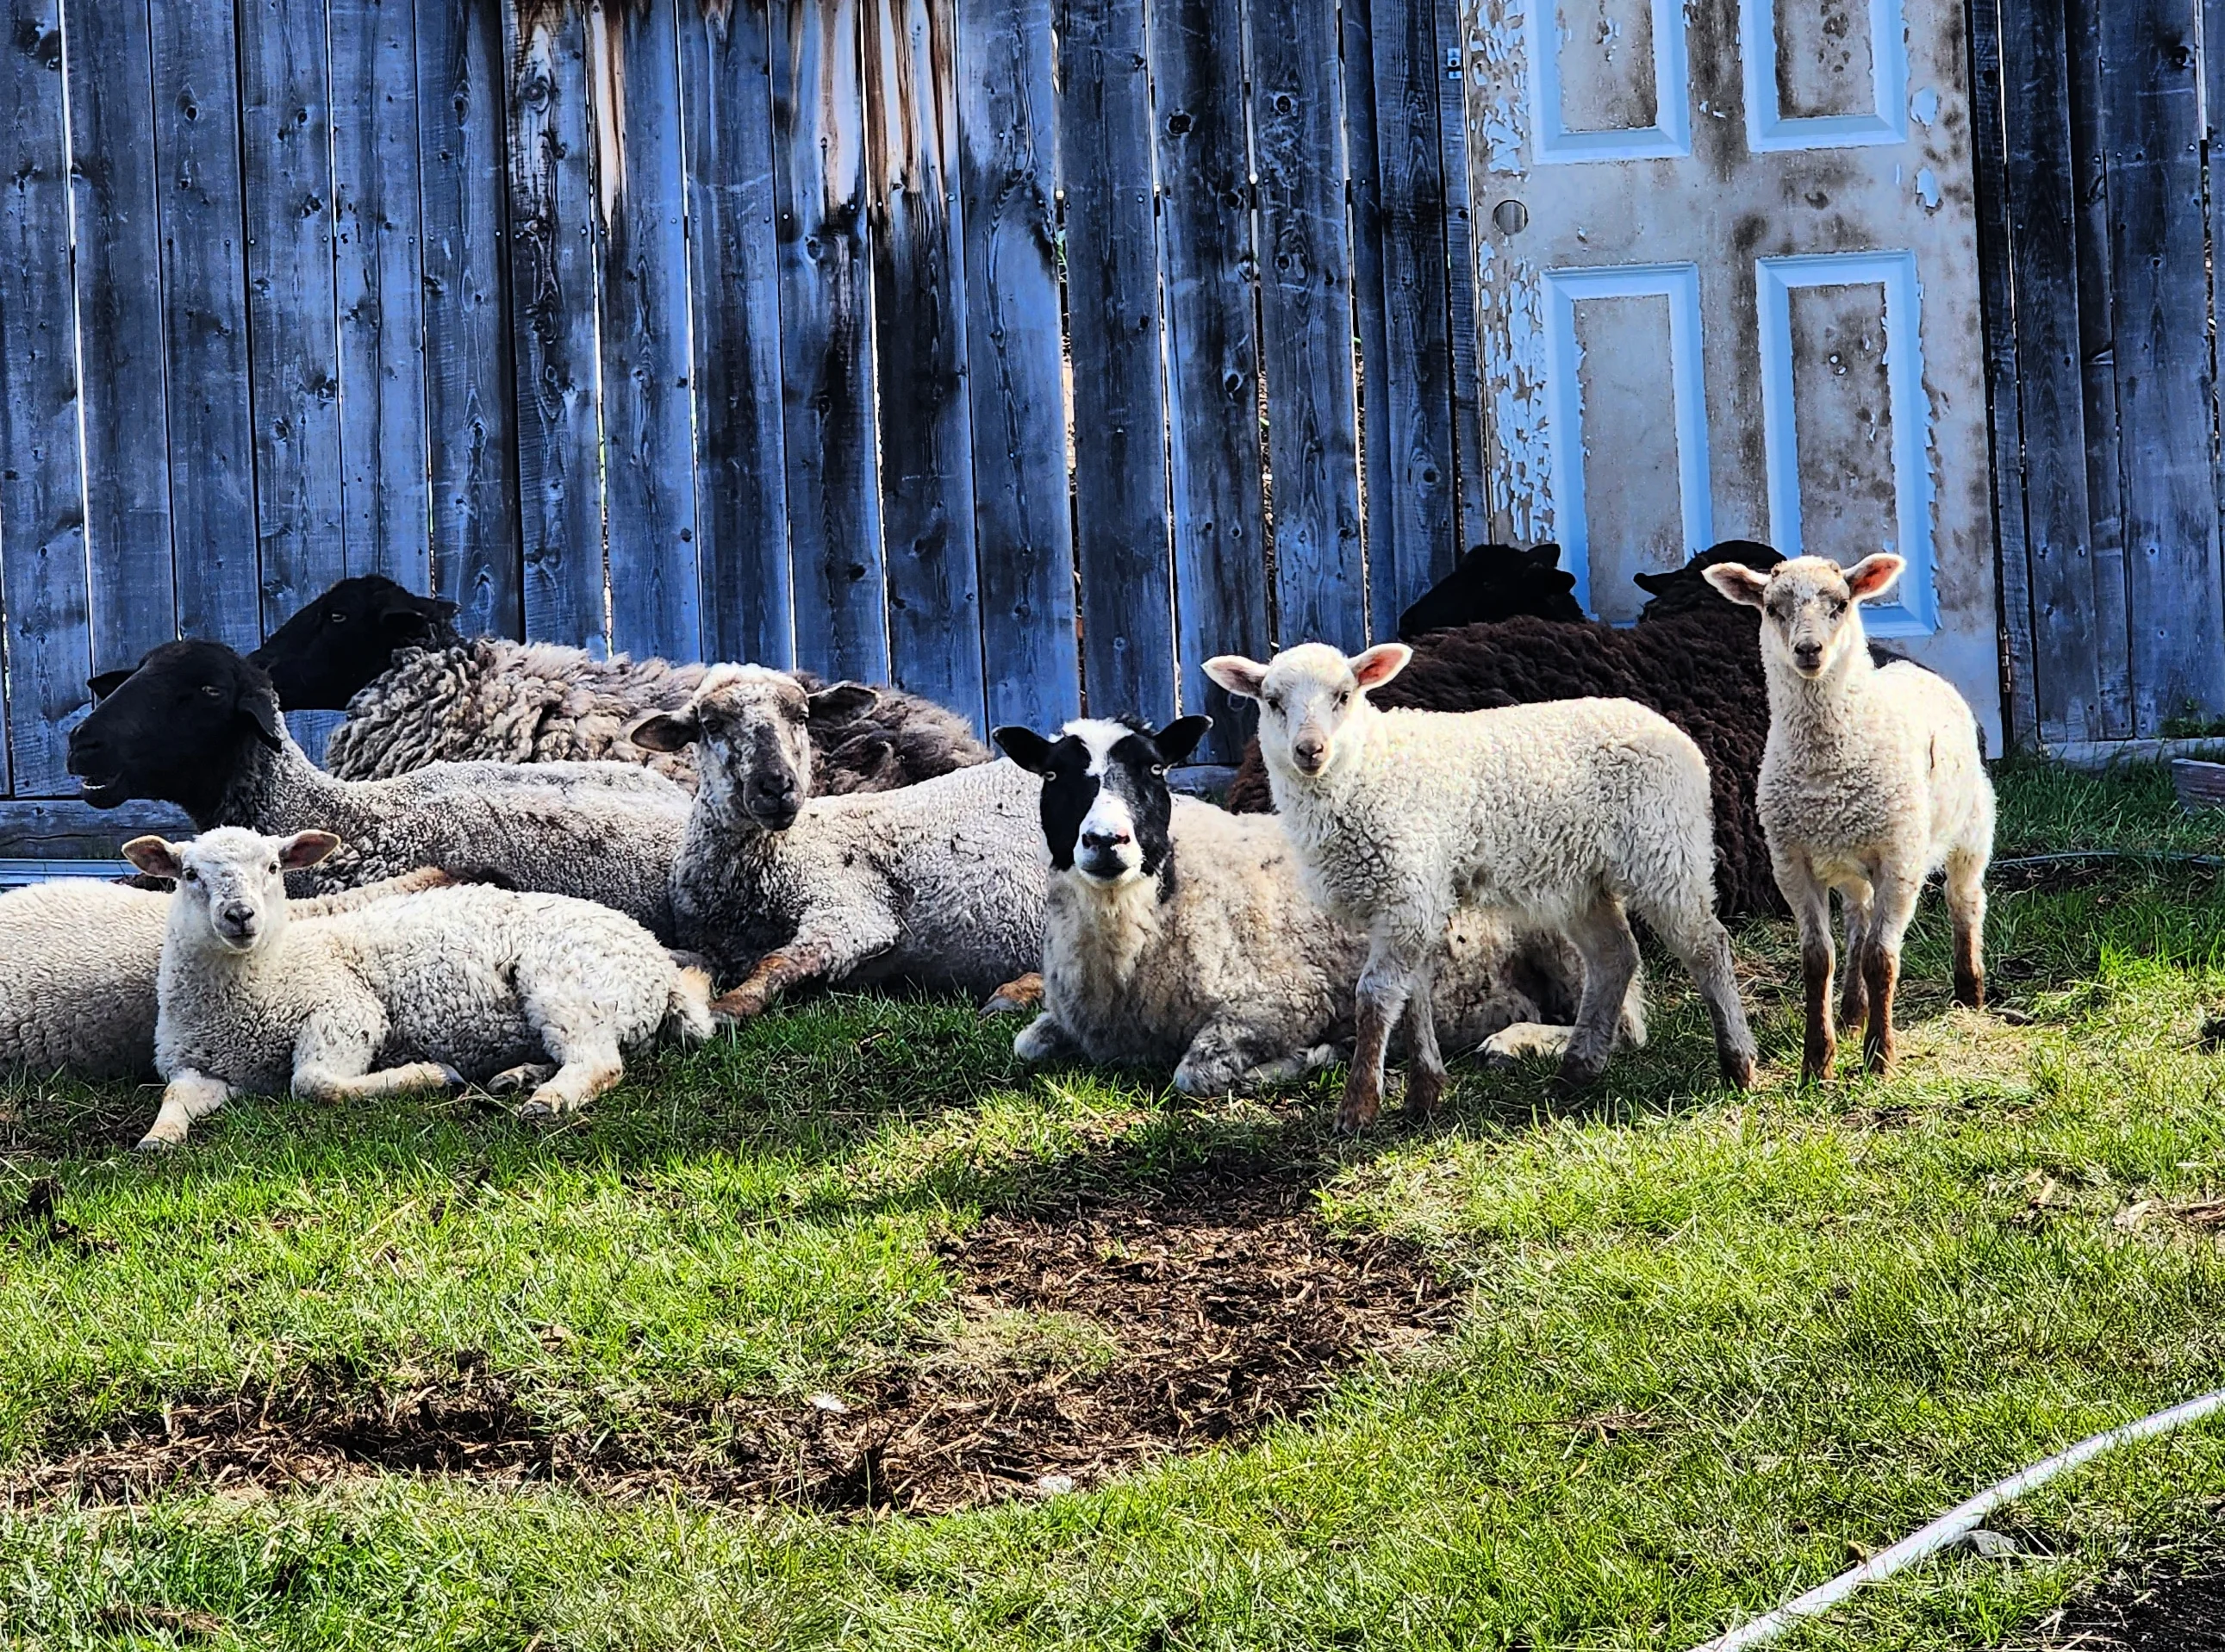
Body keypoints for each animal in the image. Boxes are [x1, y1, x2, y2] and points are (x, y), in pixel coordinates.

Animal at [120, 827, 714, 1149]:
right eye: (190, 875)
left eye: (272, 867)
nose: (240, 915)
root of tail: (659, 965)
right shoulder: (197, 1067)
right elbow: (174, 1098)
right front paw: (156, 1139)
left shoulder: (346, 1011)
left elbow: (314, 1084)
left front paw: (428, 1074)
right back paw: (519, 1076)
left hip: (572, 984)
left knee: (600, 1063)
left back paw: (546, 1100)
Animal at [628, 664, 1047, 1018]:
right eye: (711, 725)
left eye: (801, 717)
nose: (777, 786)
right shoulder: (720, 949)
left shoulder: (850, 911)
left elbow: (777, 961)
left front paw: (730, 1006)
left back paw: (1015, 994)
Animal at [991, 715, 1643, 1096]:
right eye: (1053, 776)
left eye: (1155, 768)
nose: (1106, 842)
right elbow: (1024, 1045)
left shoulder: (1283, 1000)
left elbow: (1193, 1075)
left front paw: (1314, 1056)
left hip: (1563, 934)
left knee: (1626, 1022)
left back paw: (1518, 1043)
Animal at [1204, 643, 1757, 1130]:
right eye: (1272, 701)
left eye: (1344, 695)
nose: (1309, 750)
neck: (1368, 768)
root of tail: (1670, 731)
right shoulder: (1411, 899)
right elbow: (1414, 996)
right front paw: (1424, 1093)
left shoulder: (1407, 892)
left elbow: (1375, 997)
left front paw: (1358, 1106)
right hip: (1582, 879)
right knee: (1614, 957)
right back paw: (1576, 1071)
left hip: (1666, 849)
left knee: (1707, 944)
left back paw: (1738, 1062)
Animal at [1703, 553, 1993, 1080]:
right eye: (1772, 607)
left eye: (1840, 603)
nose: (1808, 650)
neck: (1825, 773)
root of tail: (1908, 668)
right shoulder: (1791, 864)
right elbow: (1819, 960)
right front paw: (1818, 1061)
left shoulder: (1899, 860)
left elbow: (1883, 959)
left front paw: (1880, 1058)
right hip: (1850, 863)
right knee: (1857, 923)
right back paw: (1852, 1012)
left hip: (1971, 827)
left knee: (1965, 900)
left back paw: (1969, 990)